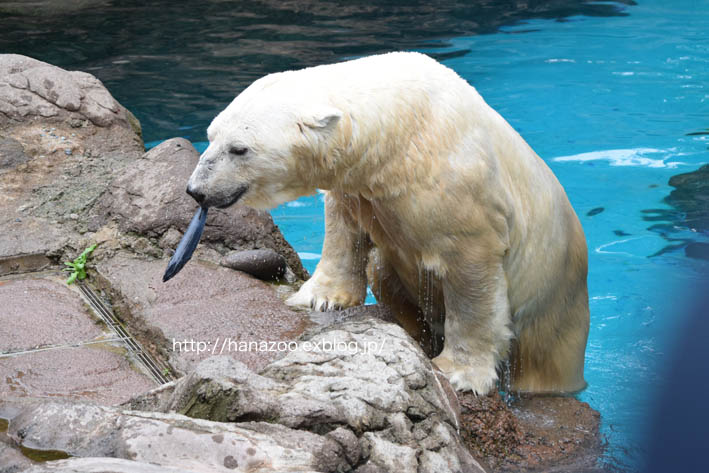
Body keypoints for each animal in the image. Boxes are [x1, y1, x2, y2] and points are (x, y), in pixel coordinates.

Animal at [185, 51, 588, 392]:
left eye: (239, 148)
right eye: (210, 136)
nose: (196, 190)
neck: (401, 128)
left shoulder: (462, 190)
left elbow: (471, 274)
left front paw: (460, 373)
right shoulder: (361, 183)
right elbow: (344, 226)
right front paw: (321, 298)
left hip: (555, 308)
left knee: (545, 363)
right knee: (385, 271)